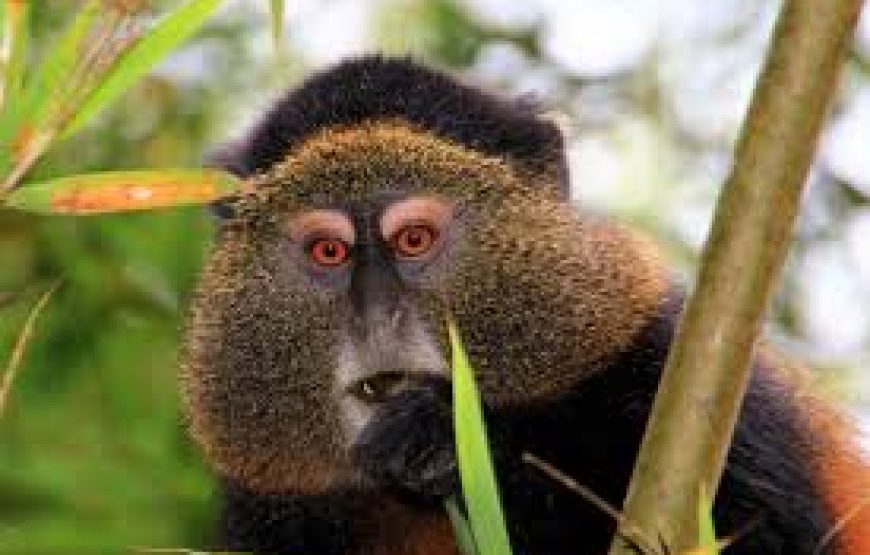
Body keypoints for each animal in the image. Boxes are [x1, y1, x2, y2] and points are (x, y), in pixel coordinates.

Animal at [181, 56, 870, 554]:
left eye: (414, 238)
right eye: (329, 250)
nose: (379, 315)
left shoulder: (674, 371)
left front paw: (452, 437)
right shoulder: (271, 504)